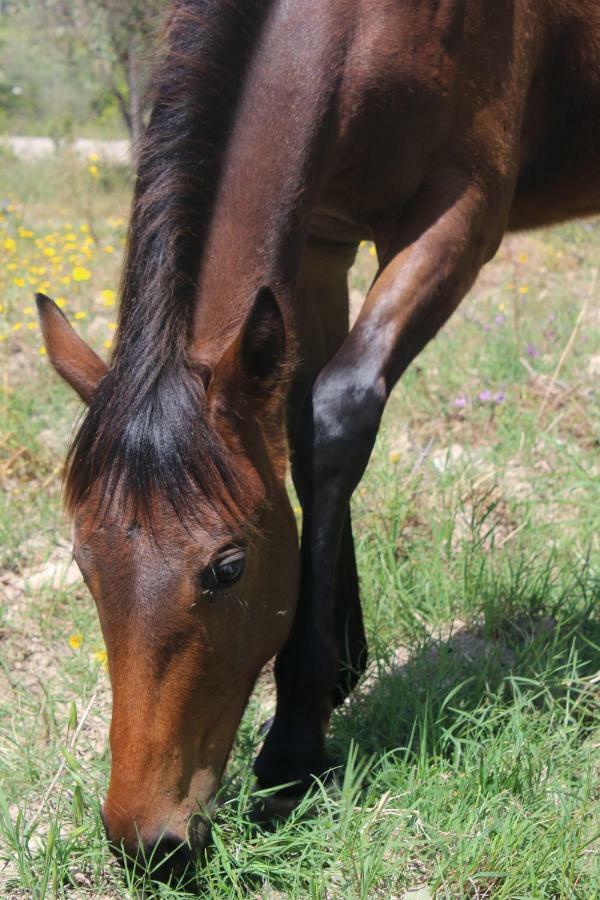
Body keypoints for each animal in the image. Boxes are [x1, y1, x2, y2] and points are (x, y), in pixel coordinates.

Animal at [37, 0, 600, 876]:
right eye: (85, 565)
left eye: (228, 568)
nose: (146, 841)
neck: (367, 29)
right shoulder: (319, 241)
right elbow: (299, 431)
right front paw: (340, 666)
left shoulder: (459, 217)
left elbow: (337, 417)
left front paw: (296, 741)